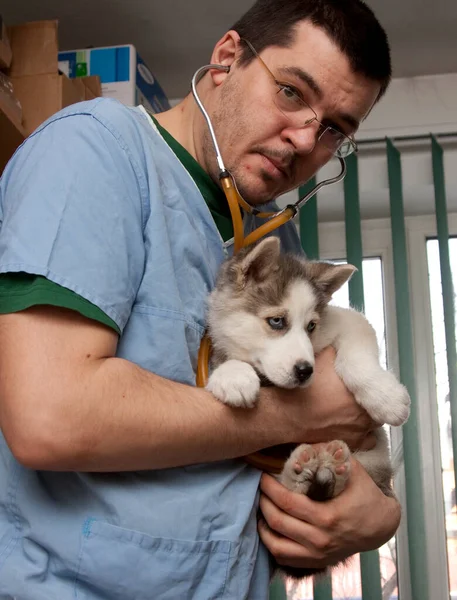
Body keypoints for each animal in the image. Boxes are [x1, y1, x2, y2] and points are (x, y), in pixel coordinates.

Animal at [206, 237, 410, 580]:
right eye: (277, 321)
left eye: (311, 326)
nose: (305, 371)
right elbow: (223, 358)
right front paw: (232, 374)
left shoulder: (349, 322)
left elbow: (356, 356)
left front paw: (385, 395)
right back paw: (300, 475)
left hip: (373, 460)